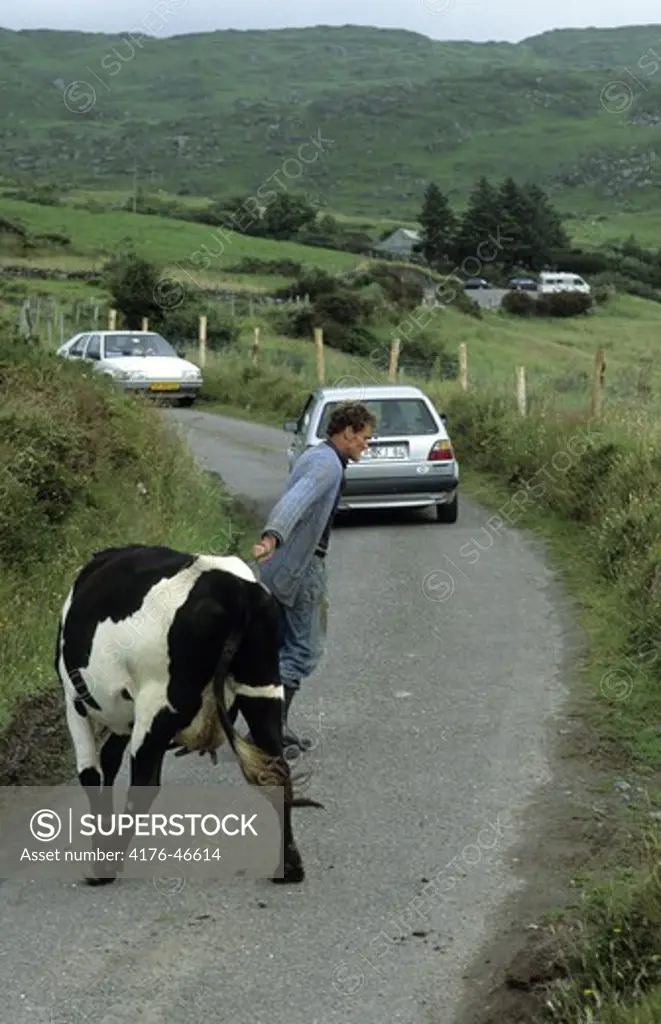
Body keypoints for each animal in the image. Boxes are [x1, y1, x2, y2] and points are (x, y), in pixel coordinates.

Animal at [55, 544, 323, 888]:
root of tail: (232, 589)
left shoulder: (74, 702)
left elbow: (92, 774)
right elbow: (109, 763)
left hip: (157, 703)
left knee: (144, 783)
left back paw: (107, 868)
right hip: (262, 690)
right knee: (277, 771)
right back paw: (289, 868)